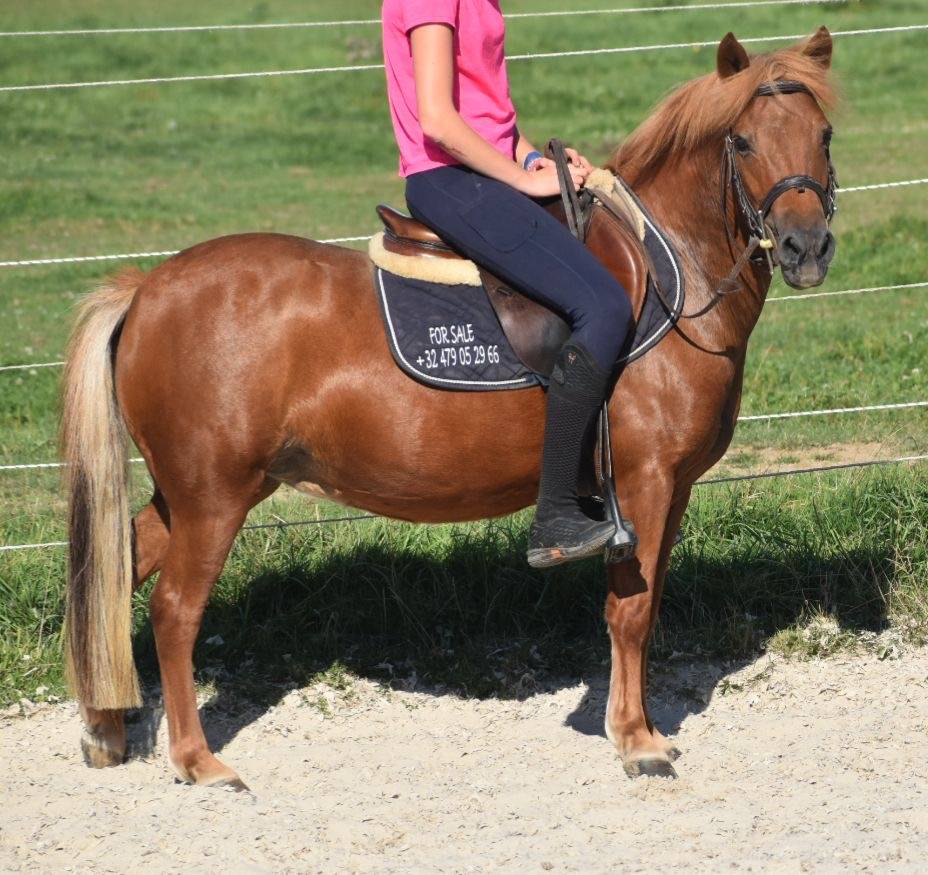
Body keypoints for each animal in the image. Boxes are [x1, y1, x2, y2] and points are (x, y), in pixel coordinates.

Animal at [61, 28, 838, 787]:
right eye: (744, 142)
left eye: (824, 135)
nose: (806, 247)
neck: (674, 278)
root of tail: (146, 290)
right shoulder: (645, 483)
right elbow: (632, 610)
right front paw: (637, 739)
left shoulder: (673, 490)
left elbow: (645, 604)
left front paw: (638, 726)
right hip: (214, 497)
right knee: (173, 609)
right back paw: (196, 758)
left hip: (191, 494)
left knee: (111, 576)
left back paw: (104, 727)